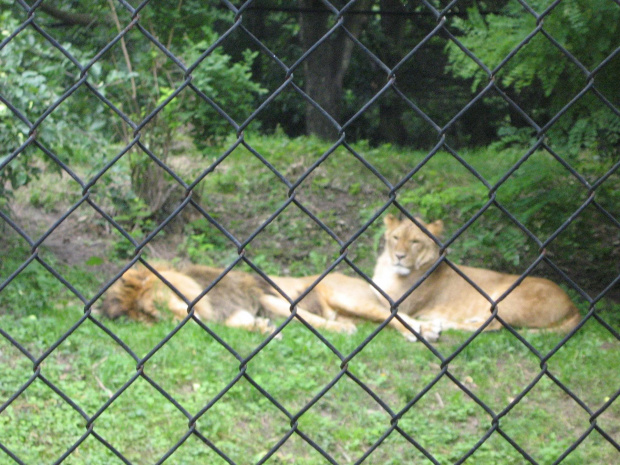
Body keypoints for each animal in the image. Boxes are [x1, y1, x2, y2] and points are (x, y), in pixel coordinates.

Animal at [372, 214, 580, 334]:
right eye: (396, 238)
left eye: (415, 242)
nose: (399, 256)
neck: (388, 269)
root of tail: (572, 304)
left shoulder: (400, 303)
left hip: (508, 298)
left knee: (492, 326)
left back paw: (442, 323)